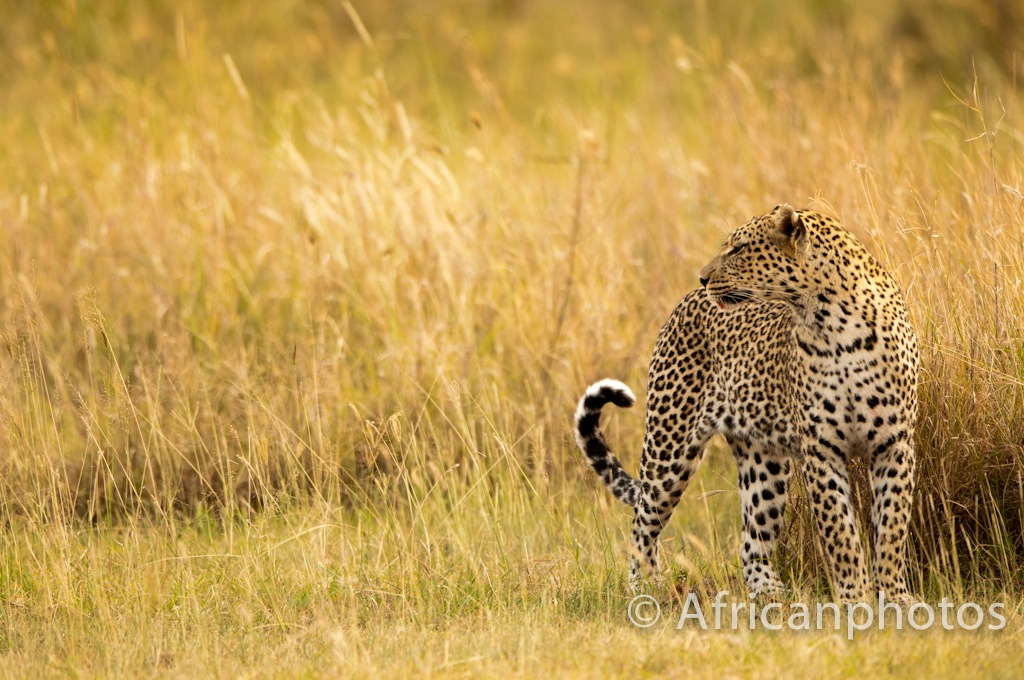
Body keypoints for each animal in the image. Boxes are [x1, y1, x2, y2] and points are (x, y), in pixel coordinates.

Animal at [574, 204, 919, 605]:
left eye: (737, 249)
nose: (703, 278)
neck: (834, 323)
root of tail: (684, 302)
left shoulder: (893, 443)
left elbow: (892, 528)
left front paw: (895, 598)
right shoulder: (821, 449)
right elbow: (840, 532)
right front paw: (855, 599)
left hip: (764, 463)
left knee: (753, 540)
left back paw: (772, 596)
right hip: (669, 448)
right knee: (642, 525)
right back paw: (644, 588)